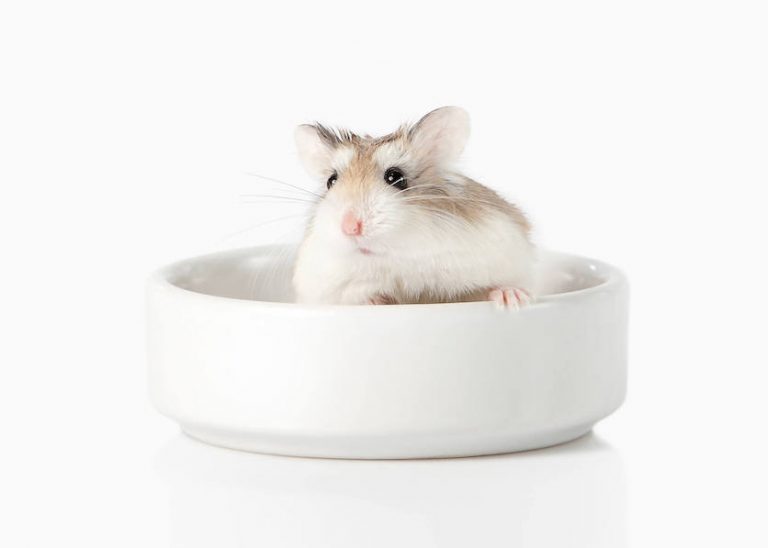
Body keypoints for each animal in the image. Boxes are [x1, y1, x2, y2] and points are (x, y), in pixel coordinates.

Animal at [292, 106, 535, 308]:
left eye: (395, 177)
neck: (392, 257)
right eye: (331, 181)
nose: (350, 227)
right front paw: (374, 302)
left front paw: (512, 299)